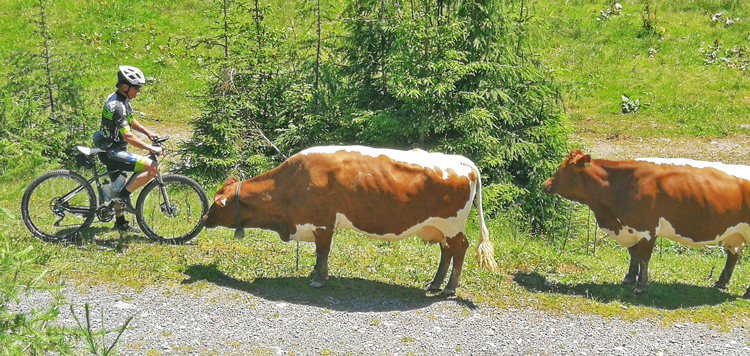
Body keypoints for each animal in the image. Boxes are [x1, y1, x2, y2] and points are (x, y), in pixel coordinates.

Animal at [203, 145, 502, 294]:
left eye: (218, 204)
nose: (204, 217)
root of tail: (461, 161)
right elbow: (318, 253)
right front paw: (315, 273)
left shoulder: (323, 223)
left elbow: (323, 251)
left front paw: (319, 279)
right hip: (438, 227)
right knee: (446, 252)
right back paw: (435, 284)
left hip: (452, 225)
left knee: (459, 249)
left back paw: (449, 288)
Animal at [544, 149, 750, 296]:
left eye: (563, 169)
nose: (545, 184)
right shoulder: (629, 227)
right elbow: (633, 253)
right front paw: (629, 277)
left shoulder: (646, 229)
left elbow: (643, 257)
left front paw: (640, 286)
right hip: (734, 233)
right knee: (734, 255)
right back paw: (720, 283)